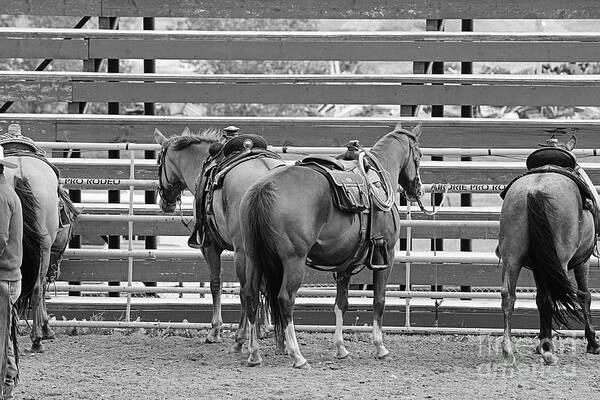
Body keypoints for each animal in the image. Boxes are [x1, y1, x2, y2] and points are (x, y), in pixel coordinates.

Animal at [155, 126, 286, 350]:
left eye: (158, 162)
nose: (165, 203)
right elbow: (262, 288)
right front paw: (262, 330)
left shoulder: (209, 245)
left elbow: (216, 283)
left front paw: (215, 331)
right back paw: (281, 342)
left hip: (243, 251)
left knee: (246, 290)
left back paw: (240, 338)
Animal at [240, 125, 426, 368]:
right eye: (419, 155)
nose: (418, 190)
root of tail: (263, 188)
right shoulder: (386, 254)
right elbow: (379, 299)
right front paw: (380, 347)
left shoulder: (345, 264)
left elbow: (341, 303)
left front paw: (340, 348)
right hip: (293, 261)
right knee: (285, 299)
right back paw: (297, 355)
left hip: (254, 258)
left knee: (251, 296)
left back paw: (254, 353)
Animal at [496, 138, 600, 366]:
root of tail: (534, 190)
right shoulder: (583, 261)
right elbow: (585, 296)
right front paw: (593, 343)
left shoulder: (537, 266)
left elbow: (540, 299)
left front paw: (541, 342)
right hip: (558, 260)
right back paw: (549, 352)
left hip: (512, 257)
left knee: (508, 295)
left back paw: (509, 350)